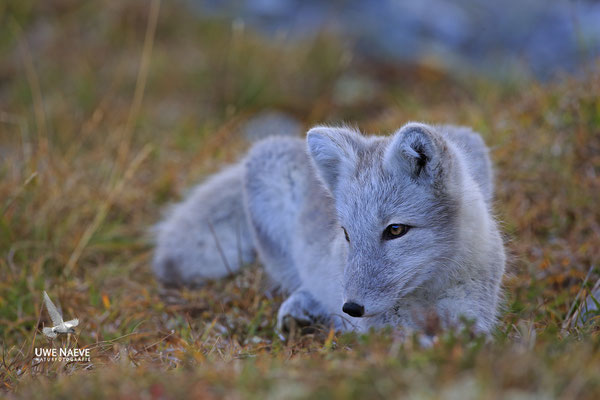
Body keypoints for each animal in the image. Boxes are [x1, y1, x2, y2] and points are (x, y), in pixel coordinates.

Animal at [152, 123, 504, 336]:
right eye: (347, 234)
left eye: (395, 230)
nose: (351, 308)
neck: (426, 292)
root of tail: (296, 144)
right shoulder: (379, 324)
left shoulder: (476, 309)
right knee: (299, 283)